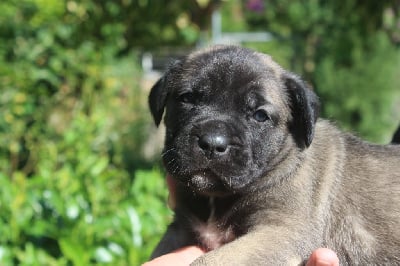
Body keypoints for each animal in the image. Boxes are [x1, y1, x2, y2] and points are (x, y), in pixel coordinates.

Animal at [148, 45, 400, 264]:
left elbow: (209, 261)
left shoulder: (279, 230)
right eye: (187, 99)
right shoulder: (181, 228)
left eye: (260, 115)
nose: (212, 143)